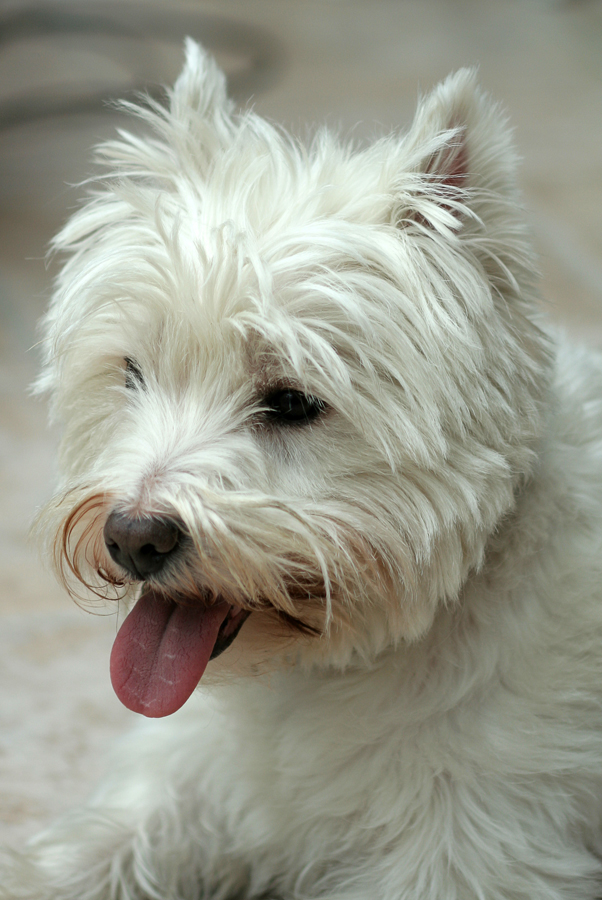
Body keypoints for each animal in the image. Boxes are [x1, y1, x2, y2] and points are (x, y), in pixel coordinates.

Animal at [3, 40, 600, 900]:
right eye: (132, 373)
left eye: (292, 401)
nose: (132, 538)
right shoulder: (191, 779)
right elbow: (85, 852)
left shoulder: (474, 847)